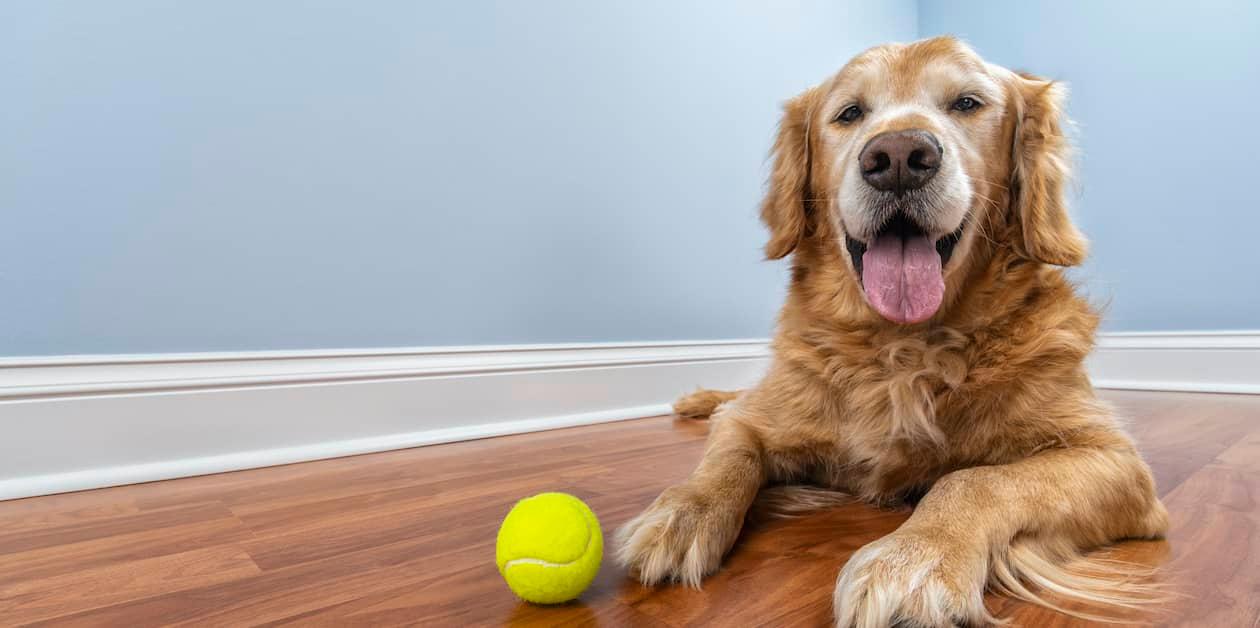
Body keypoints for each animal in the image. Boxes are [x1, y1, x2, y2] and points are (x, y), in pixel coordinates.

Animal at [614, 36, 1164, 625]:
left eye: (967, 103)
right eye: (850, 113)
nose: (898, 157)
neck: (903, 347)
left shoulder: (1116, 461)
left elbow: (974, 479)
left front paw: (918, 555)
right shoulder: (757, 419)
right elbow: (728, 456)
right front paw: (683, 511)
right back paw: (696, 402)